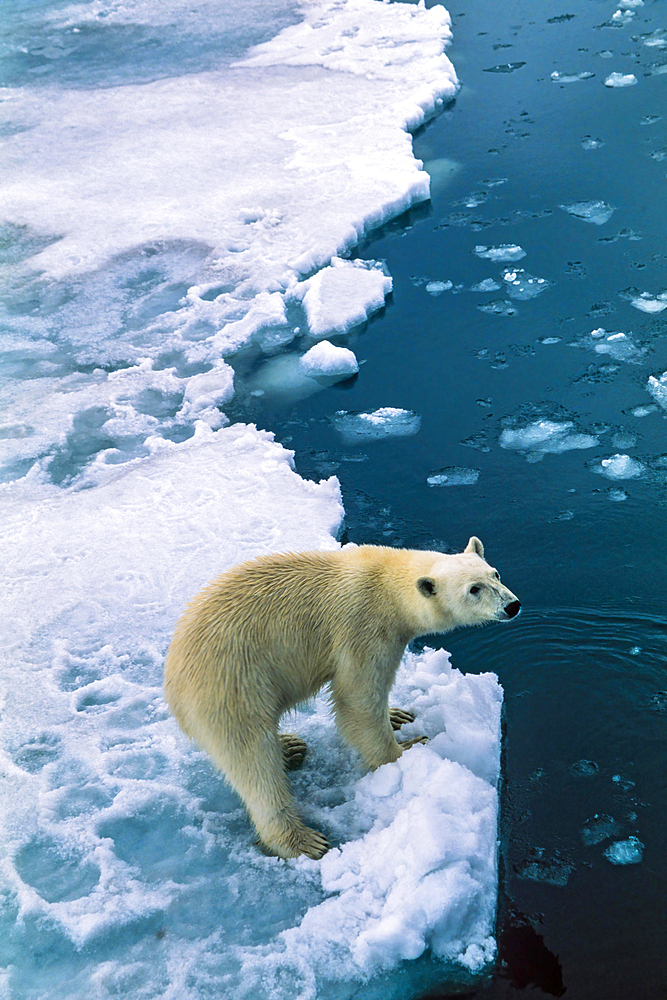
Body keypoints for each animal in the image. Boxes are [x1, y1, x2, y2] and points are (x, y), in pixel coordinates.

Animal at [164, 540, 520, 860]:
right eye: (474, 589)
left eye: (495, 573)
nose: (512, 605)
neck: (386, 583)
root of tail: (173, 685)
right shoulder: (363, 628)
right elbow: (357, 696)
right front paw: (408, 748)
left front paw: (397, 715)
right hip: (232, 684)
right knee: (253, 762)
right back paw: (301, 838)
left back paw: (289, 747)